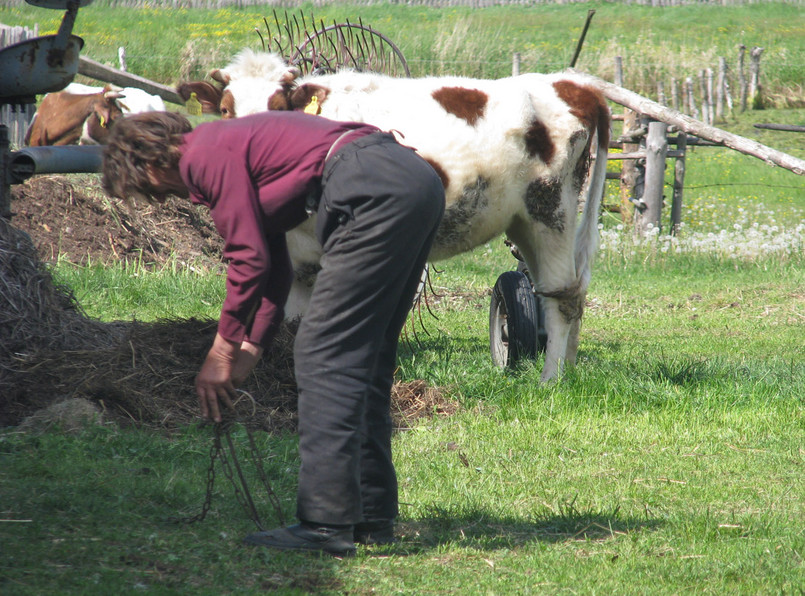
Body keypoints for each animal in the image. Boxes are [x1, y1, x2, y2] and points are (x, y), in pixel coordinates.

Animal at [204, 49, 608, 380]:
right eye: (225, 110)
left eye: (278, 108)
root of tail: (572, 85)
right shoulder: (297, 252)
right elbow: (295, 317)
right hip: (523, 222)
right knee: (560, 290)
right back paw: (568, 367)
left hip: (551, 211)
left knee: (562, 296)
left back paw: (551, 379)